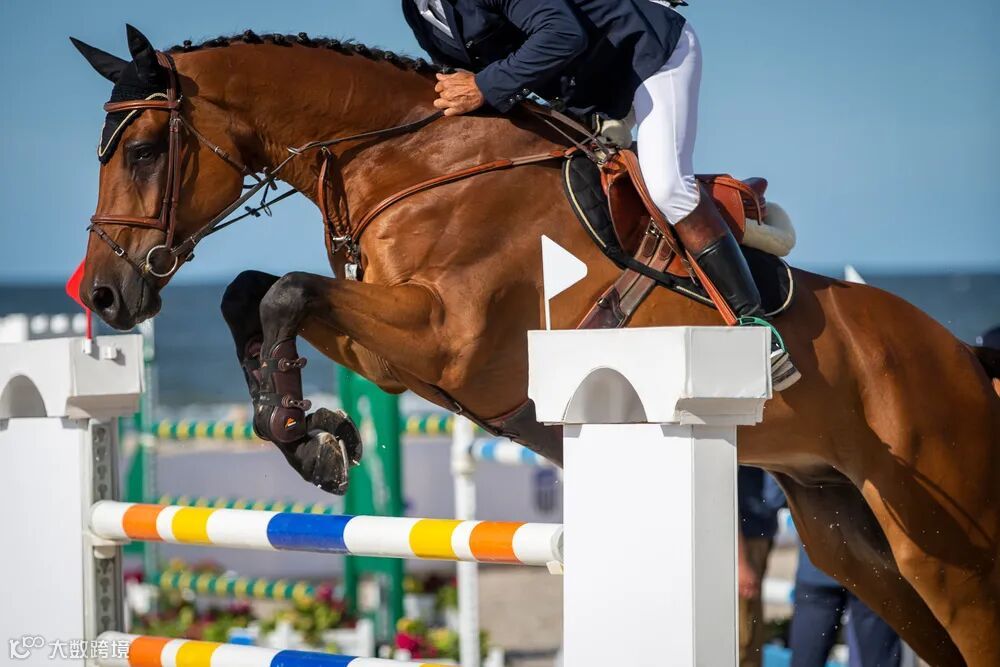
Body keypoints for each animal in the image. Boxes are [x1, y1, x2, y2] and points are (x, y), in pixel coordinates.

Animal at [71, 27, 999, 666]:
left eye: (145, 152)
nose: (108, 294)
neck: (414, 161)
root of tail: (961, 354)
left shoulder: (445, 338)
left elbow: (285, 292)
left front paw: (313, 439)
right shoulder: (393, 354)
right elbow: (253, 294)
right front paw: (313, 434)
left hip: (940, 545)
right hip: (853, 537)